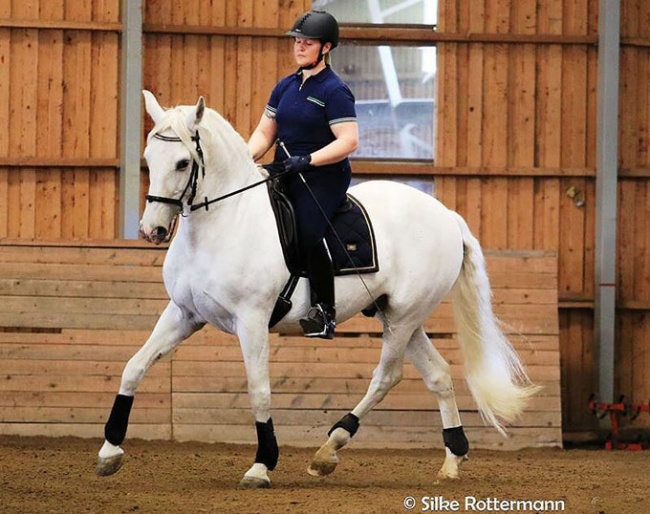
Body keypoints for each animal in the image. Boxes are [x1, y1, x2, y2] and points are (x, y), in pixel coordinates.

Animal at [92, 90, 536, 486]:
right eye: (149, 158)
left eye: (183, 162)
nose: (152, 230)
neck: (226, 220)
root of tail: (446, 215)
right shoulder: (184, 314)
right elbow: (134, 367)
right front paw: (110, 451)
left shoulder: (251, 321)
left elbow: (259, 390)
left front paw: (262, 465)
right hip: (397, 316)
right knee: (439, 374)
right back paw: (451, 461)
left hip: (405, 317)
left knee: (386, 376)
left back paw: (329, 449)